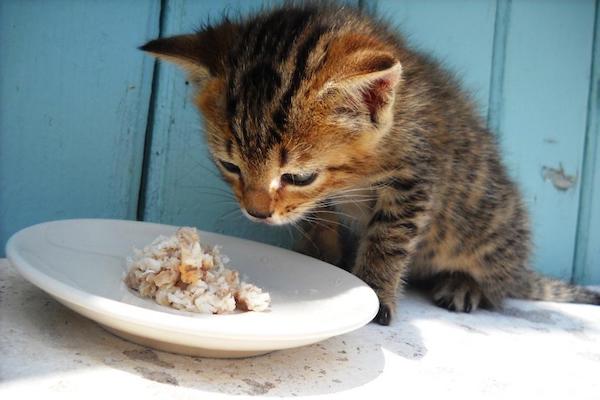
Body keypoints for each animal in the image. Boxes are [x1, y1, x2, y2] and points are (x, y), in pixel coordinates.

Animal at [139, 1, 596, 324]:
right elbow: (319, 218)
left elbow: (388, 238)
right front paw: (321, 254)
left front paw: (376, 292)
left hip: (484, 223)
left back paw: (464, 284)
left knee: (499, 279)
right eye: (230, 166)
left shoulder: (416, 175)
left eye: (298, 176)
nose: (257, 214)